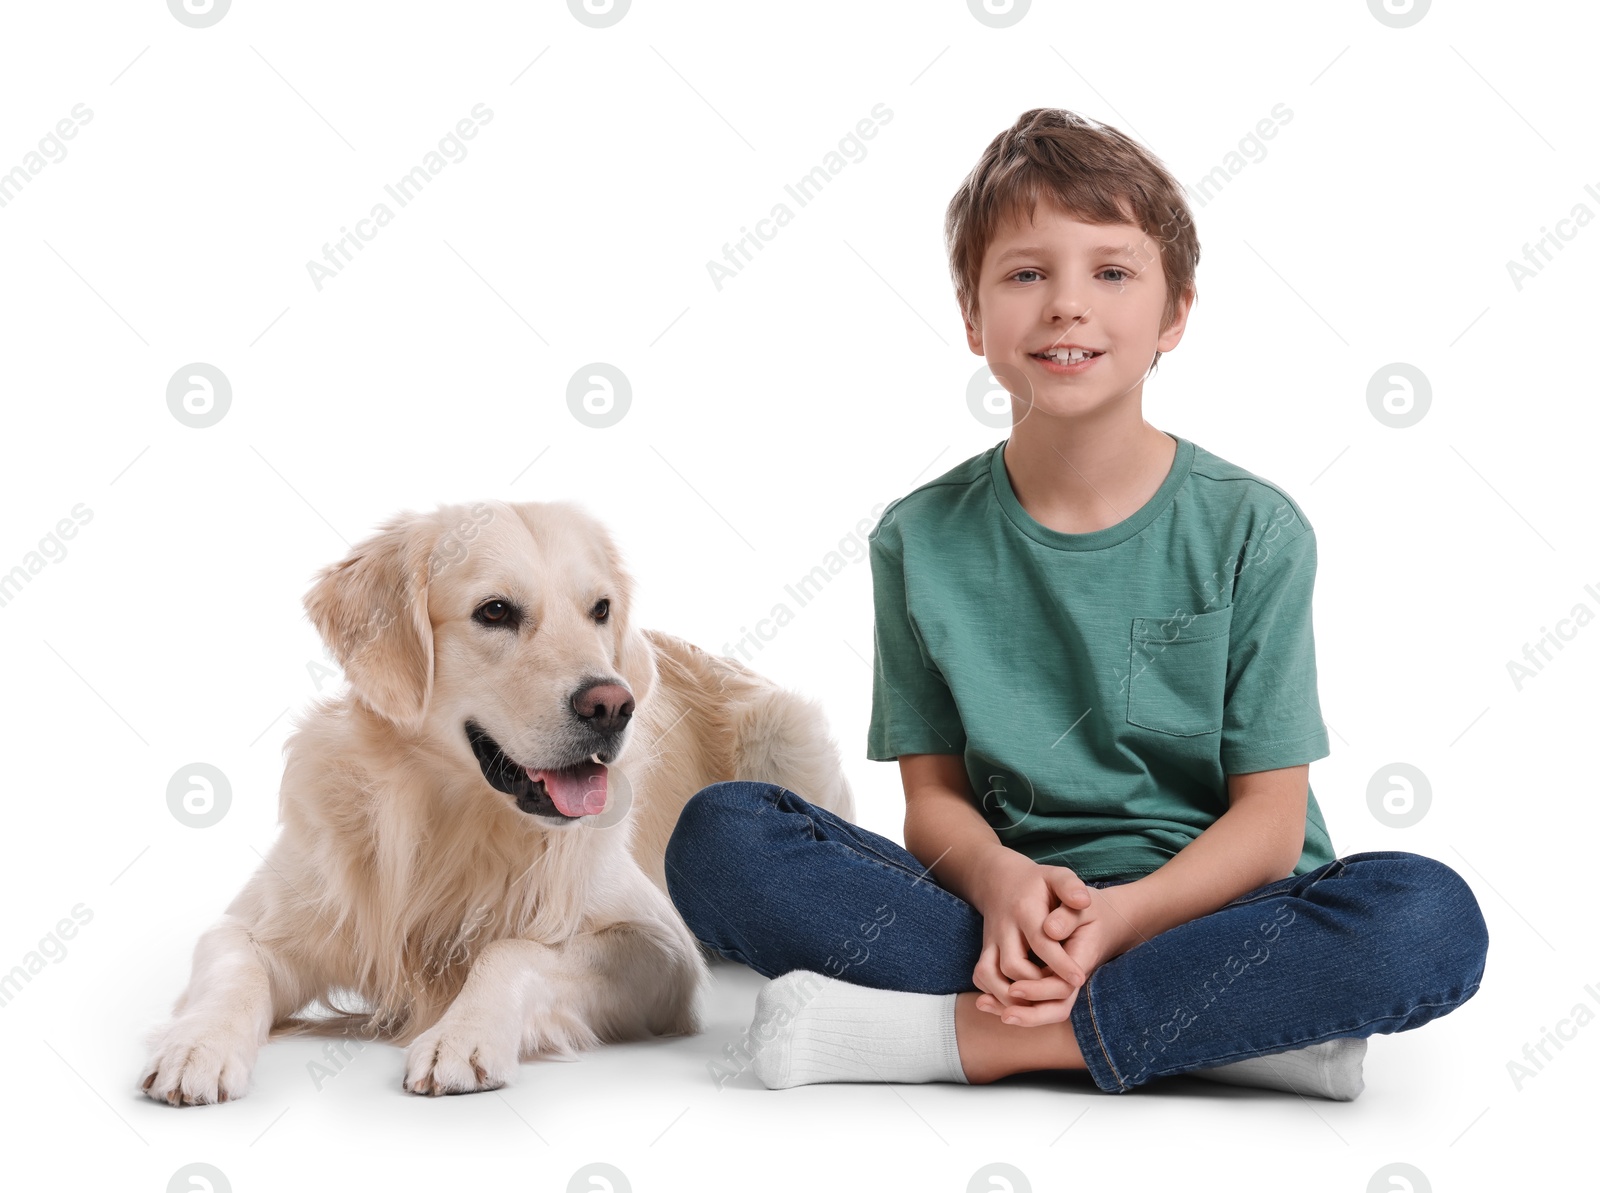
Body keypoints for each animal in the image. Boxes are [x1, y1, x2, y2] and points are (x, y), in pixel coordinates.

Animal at [137, 495, 857, 1100]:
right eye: (495, 611)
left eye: (599, 609)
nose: (612, 704)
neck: (450, 816)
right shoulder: (263, 917)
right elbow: (232, 964)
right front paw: (198, 1045)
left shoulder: (659, 948)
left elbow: (512, 949)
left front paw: (464, 1035)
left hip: (787, 733)